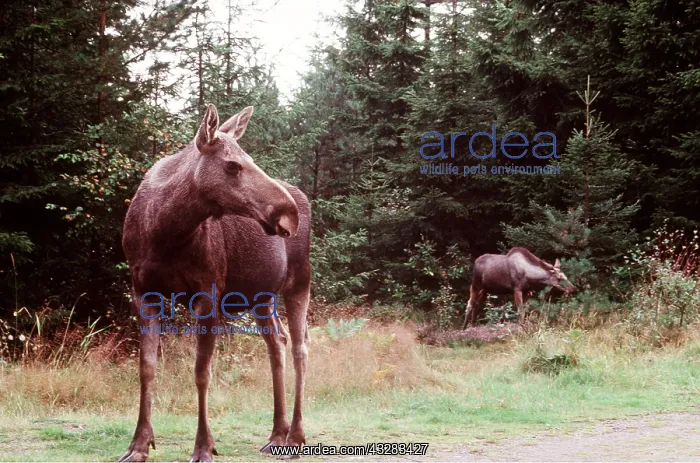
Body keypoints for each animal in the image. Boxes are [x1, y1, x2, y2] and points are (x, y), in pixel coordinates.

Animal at [119, 104, 311, 462]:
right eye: (232, 164)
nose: (287, 214)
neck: (164, 233)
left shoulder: (209, 292)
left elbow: (201, 371)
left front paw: (204, 445)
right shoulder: (142, 291)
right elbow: (146, 367)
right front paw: (139, 444)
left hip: (299, 279)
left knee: (300, 347)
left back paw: (295, 436)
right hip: (262, 294)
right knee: (276, 342)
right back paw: (277, 433)